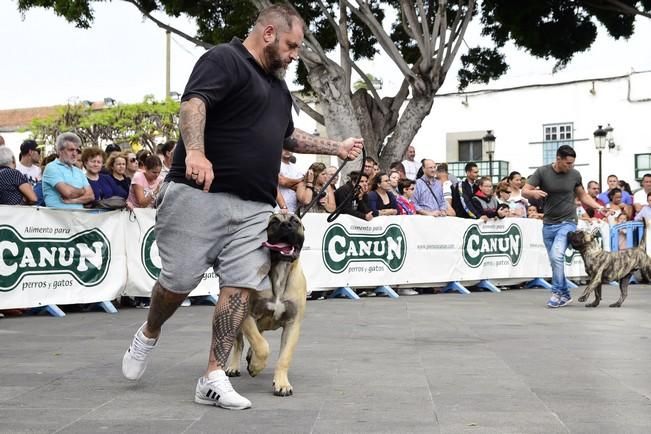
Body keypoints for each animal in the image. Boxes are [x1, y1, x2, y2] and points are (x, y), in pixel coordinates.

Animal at [225, 214, 306, 396]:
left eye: (295, 221)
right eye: (274, 222)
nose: (286, 225)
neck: (280, 270)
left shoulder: (292, 324)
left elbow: (284, 357)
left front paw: (282, 384)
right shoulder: (247, 315)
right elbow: (261, 345)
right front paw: (256, 366)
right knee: (240, 342)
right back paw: (234, 366)